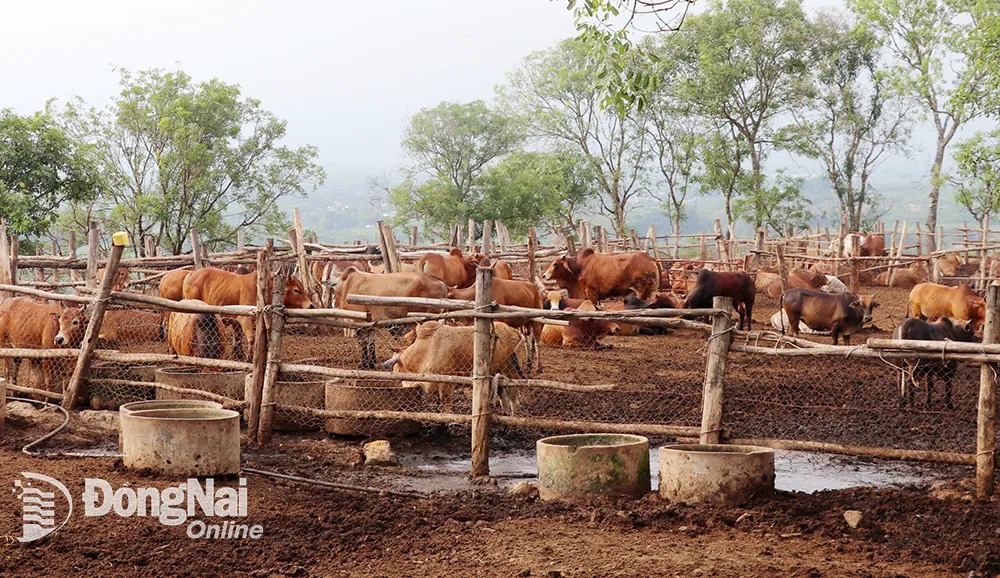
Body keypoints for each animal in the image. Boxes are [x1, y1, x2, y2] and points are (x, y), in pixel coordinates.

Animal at [182, 264, 314, 356]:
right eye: (296, 290)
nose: (311, 305)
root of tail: (191, 274)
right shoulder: (245, 318)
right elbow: (251, 338)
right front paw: (249, 357)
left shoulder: (238, 321)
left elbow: (239, 337)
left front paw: (238, 354)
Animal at [388, 318, 536, 412]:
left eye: (397, 369)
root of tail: (515, 332)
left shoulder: (446, 384)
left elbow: (446, 406)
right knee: (504, 398)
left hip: (512, 373)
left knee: (514, 399)